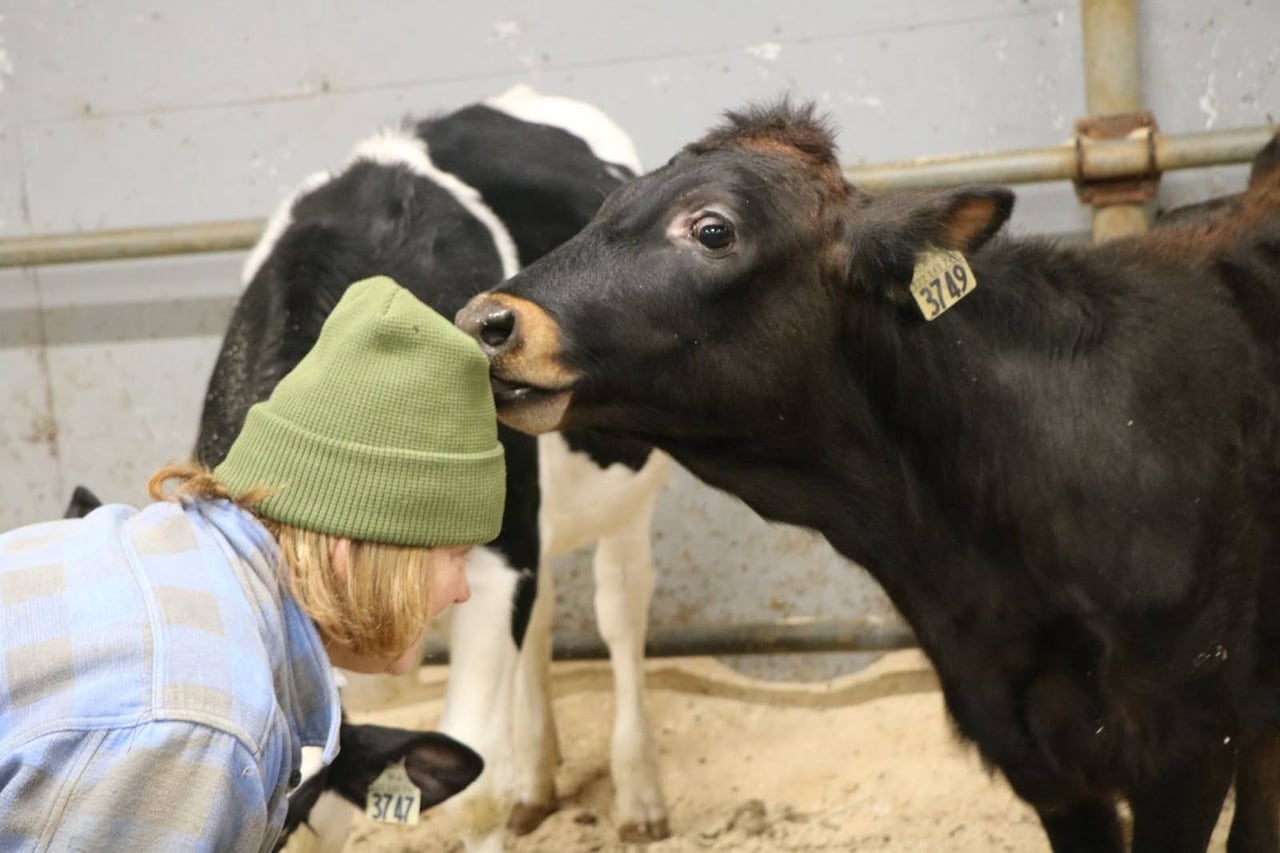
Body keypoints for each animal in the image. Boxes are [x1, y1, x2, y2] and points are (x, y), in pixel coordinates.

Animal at [198, 86, 672, 852]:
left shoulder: (499, 560)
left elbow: (471, 793)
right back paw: (535, 782)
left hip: (628, 492)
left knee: (621, 612)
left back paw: (639, 796)